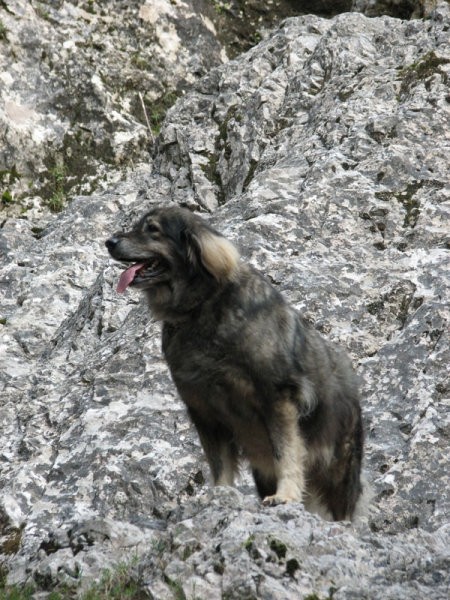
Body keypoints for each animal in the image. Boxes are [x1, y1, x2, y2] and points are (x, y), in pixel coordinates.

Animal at [106, 206, 366, 520]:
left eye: (152, 229)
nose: (109, 242)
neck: (201, 307)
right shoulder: (204, 410)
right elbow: (219, 463)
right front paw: (219, 495)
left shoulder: (277, 399)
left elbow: (286, 452)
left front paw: (285, 496)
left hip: (338, 470)